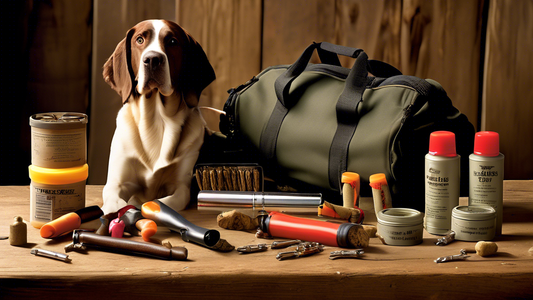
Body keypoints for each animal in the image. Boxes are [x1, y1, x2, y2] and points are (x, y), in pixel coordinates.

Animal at [102, 19, 214, 214]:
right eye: (140, 39)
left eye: (172, 41)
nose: (153, 59)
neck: (156, 119)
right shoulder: (115, 185)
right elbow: (116, 204)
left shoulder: (181, 188)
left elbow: (160, 202)